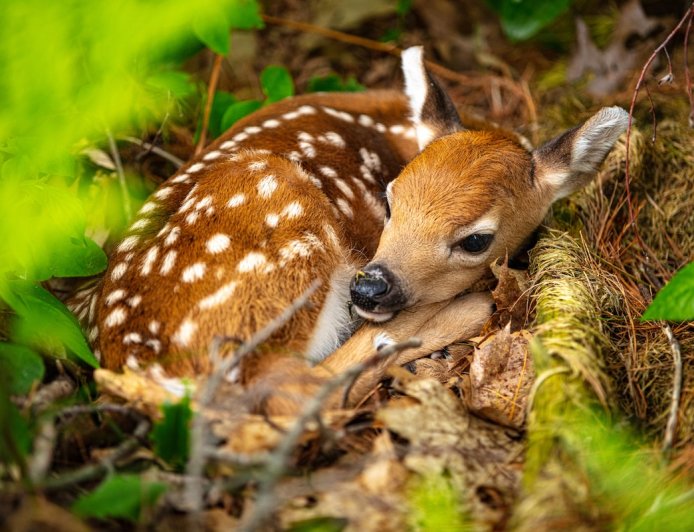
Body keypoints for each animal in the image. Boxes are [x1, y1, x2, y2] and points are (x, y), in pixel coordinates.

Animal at [69, 47, 628, 413]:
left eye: (475, 240)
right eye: (390, 198)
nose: (370, 287)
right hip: (284, 229)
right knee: (294, 393)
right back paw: (465, 311)